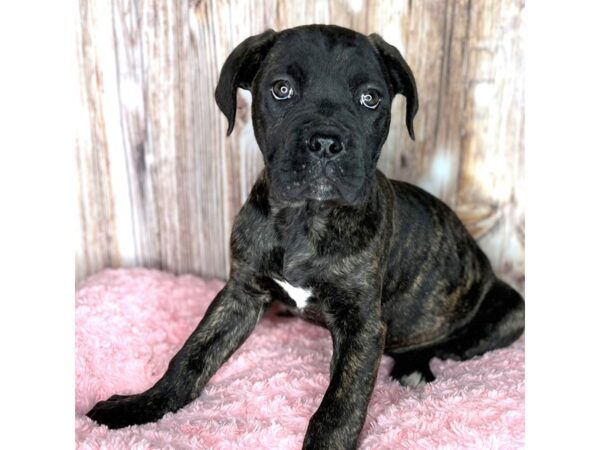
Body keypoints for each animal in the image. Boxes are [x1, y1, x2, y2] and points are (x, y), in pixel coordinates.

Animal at [86, 25, 524, 450]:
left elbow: (342, 401)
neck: (306, 217)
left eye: (370, 98)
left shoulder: (363, 325)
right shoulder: (241, 293)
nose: (326, 143)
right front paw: (142, 404)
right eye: (282, 89)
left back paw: (414, 366)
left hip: (507, 311)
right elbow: (192, 355)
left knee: (446, 345)